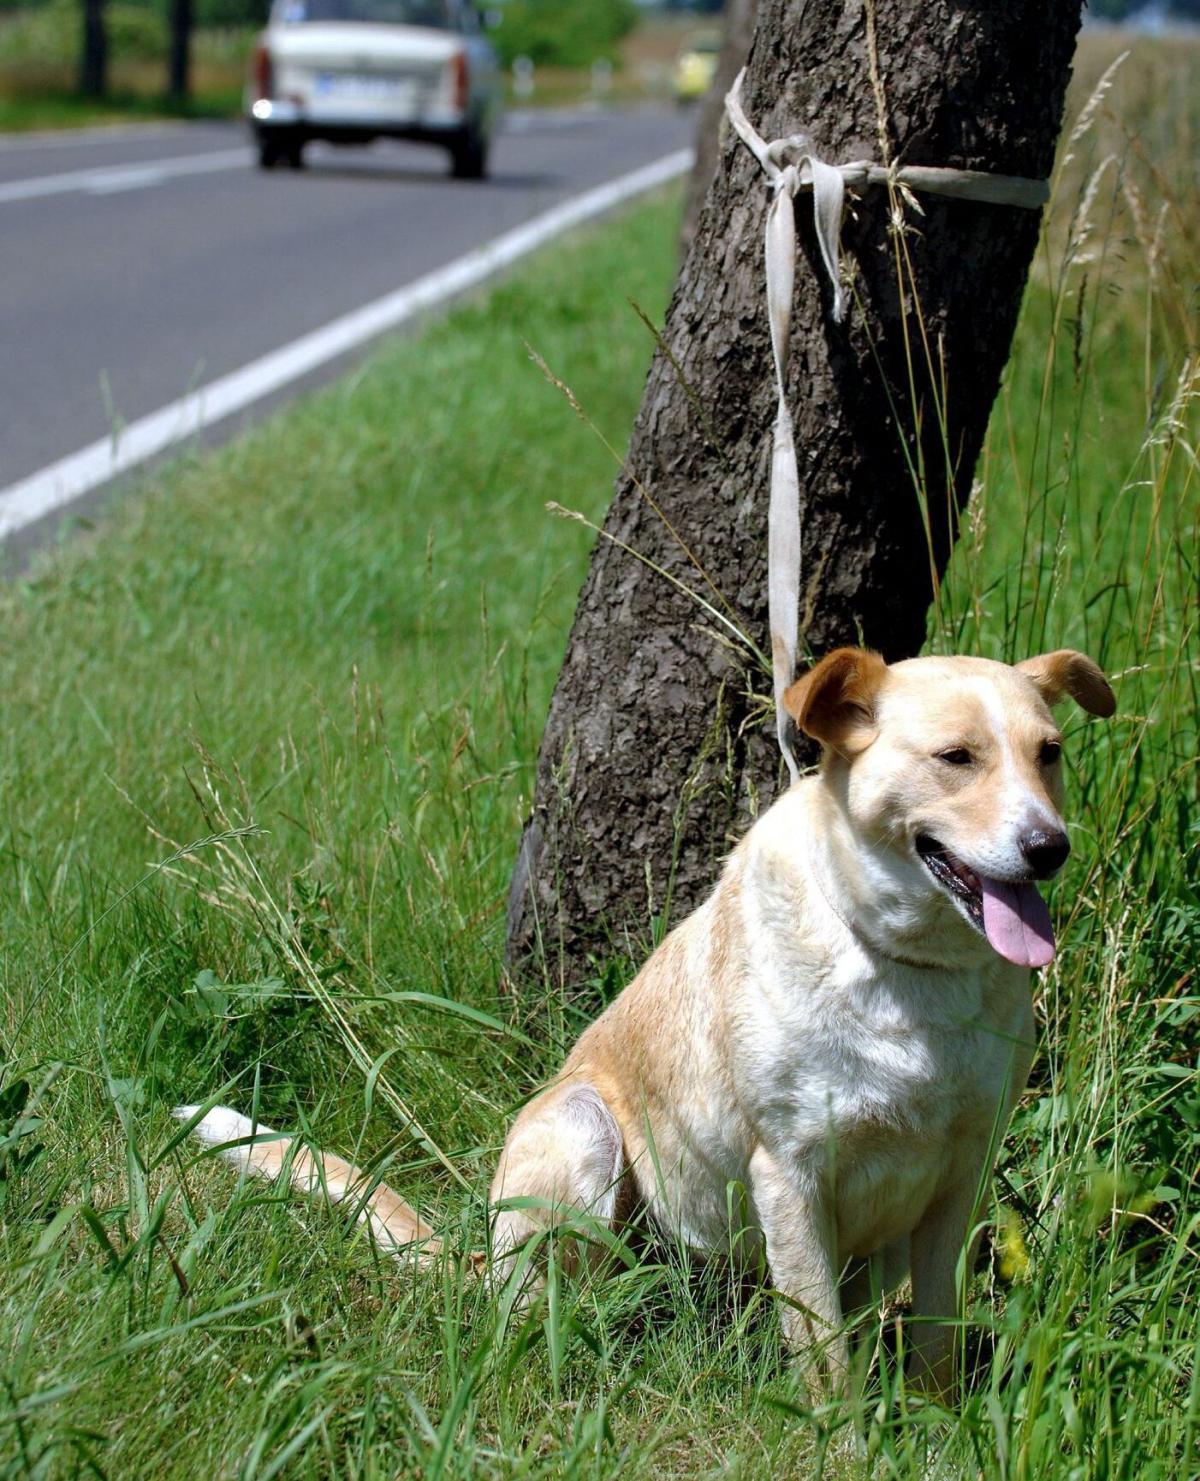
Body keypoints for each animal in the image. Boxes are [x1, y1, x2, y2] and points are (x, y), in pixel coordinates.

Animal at [175, 642, 1114, 1392]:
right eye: (956, 756)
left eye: (1050, 753)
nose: (1050, 847)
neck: (908, 968)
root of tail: (479, 1255)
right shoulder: (791, 1175)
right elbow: (826, 1367)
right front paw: (846, 1447)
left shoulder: (959, 1178)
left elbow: (935, 1344)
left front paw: (932, 1426)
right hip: (583, 1133)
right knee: (539, 1309)